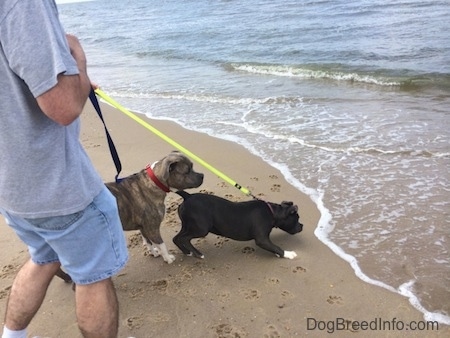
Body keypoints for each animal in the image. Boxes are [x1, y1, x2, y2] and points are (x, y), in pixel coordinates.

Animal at [172, 191, 302, 260]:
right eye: (297, 219)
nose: (302, 226)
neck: (272, 212)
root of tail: (188, 196)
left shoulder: (265, 240)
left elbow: (273, 247)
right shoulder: (261, 239)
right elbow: (276, 247)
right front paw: (288, 254)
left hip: (188, 225)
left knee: (176, 238)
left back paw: (187, 252)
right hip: (201, 228)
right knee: (184, 239)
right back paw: (198, 254)